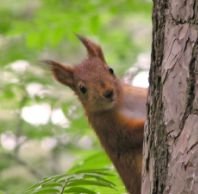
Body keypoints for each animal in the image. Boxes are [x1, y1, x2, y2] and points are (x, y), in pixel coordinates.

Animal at [44, 35, 147, 194]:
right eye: (82, 88)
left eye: (110, 70)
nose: (108, 92)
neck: (121, 103)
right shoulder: (107, 127)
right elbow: (127, 136)